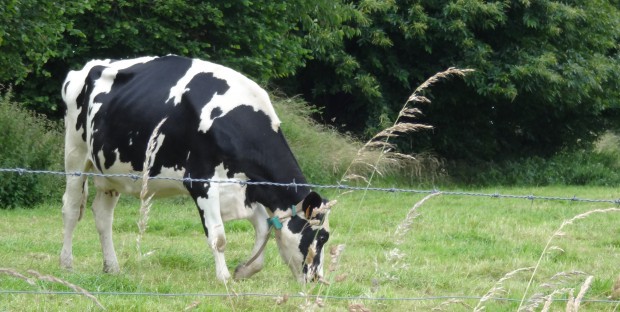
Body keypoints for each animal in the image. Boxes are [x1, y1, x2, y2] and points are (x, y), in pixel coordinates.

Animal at [61, 56, 332, 282]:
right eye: (320, 237)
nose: (317, 278)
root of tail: (89, 65)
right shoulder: (202, 183)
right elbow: (218, 237)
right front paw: (224, 280)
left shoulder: (243, 190)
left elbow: (264, 229)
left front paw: (244, 270)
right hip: (75, 155)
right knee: (71, 208)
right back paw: (66, 264)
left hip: (110, 173)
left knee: (103, 216)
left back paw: (112, 267)